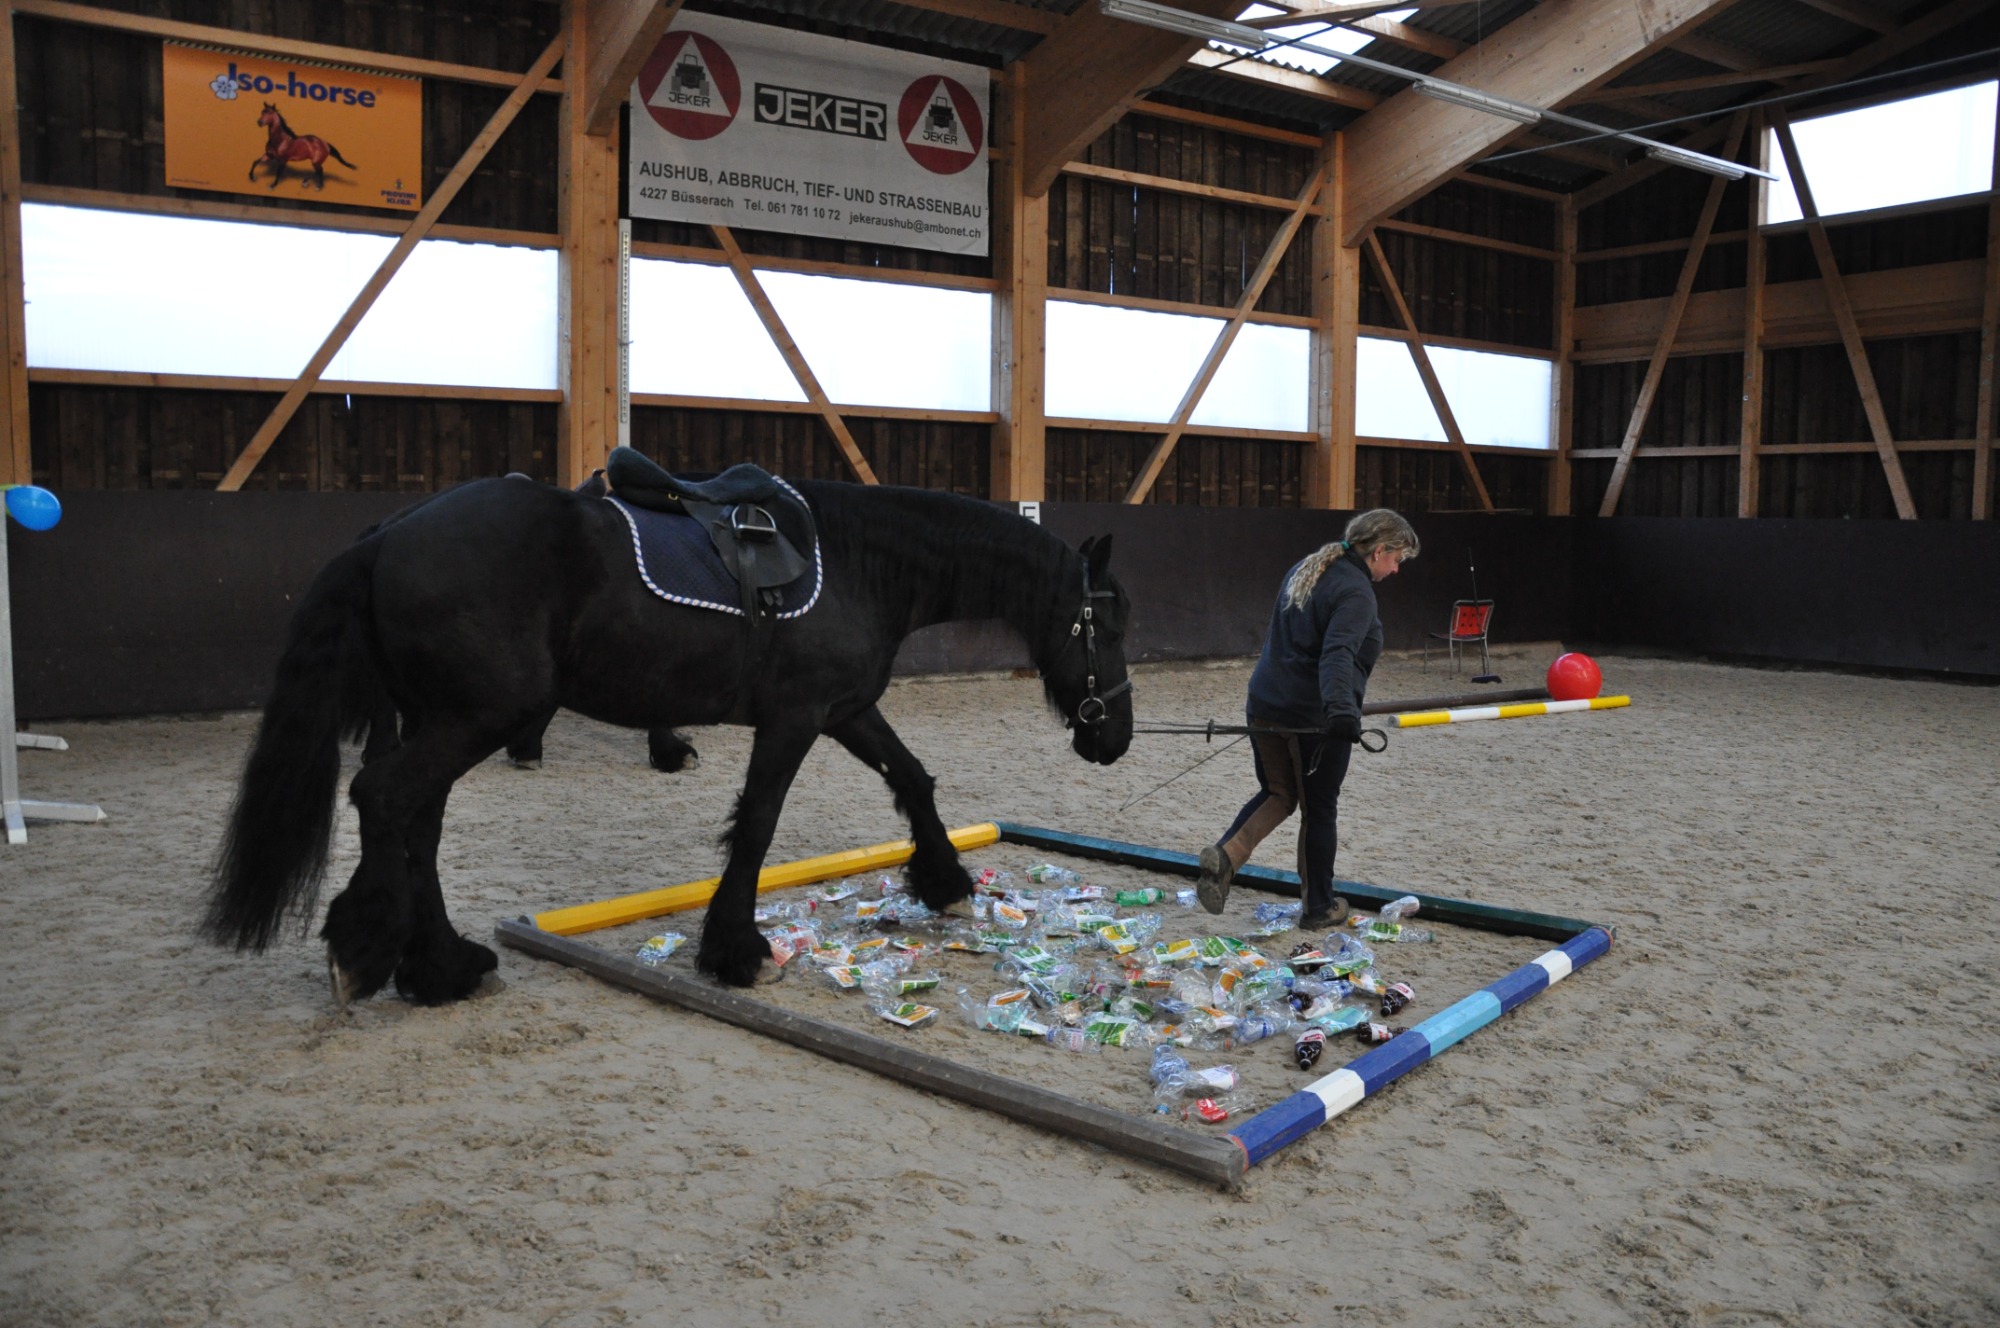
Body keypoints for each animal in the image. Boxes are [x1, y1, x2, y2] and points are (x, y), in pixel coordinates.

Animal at [203, 475, 1133, 1003]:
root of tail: (388, 534)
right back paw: (370, 950)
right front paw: (734, 949)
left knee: (415, 826)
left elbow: (912, 775)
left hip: (443, 718)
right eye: (1109, 623)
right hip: (473, 718)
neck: (860, 563)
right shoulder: (795, 718)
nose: (1116, 737)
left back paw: (441, 966)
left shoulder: (843, 709)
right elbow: (757, 823)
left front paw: (943, 879)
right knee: (385, 800)